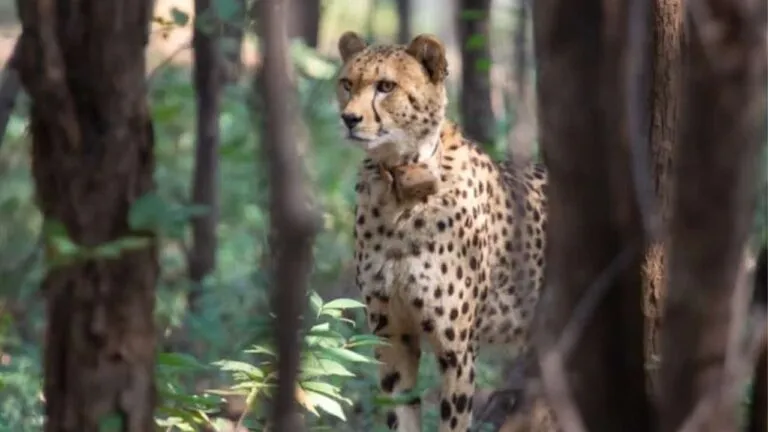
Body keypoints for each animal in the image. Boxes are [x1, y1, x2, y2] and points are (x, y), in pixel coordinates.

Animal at [335, 31, 548, 432]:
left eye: (386, 86)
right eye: (346, 84)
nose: (349, 119)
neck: (400, 186)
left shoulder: (457, 349)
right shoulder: (392, 336)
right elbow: (400, 412)